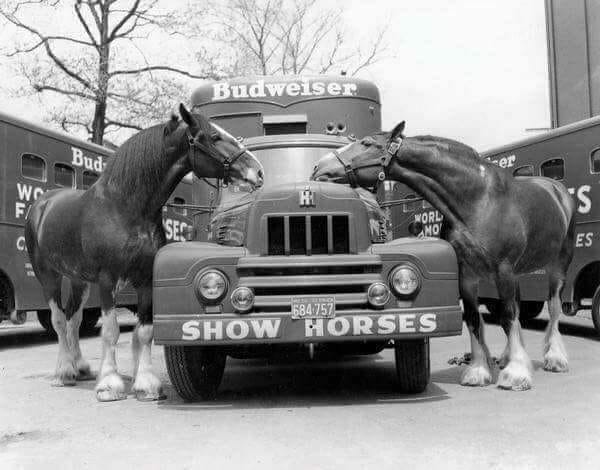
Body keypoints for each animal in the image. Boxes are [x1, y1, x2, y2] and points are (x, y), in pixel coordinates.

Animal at [25, 104, 264, 402]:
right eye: (214, 136)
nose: (258, 171)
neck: (125, 208)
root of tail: (42, 205)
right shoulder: (107, 280)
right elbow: (111, 331)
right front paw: (109, 384)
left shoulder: (146, 279)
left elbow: (145, 331)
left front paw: (146, 385)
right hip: (48, 275)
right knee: (58, 320)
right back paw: (63, 372)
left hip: (79, 280)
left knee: (74, 319)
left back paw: (80, 368)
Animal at [312, 121, 576, 390]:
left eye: (366, 143)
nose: (318, 167)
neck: (478, 201)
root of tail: (556, 189)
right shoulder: (466, 275)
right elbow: (474, 318)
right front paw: (479, 371)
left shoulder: (504, 270)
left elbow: (508, 315)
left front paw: (516, 374)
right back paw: (505, 358)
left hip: (558, 264)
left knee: (553, 307)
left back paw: (555, 358)